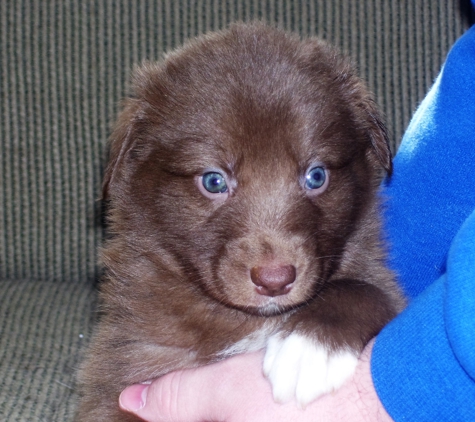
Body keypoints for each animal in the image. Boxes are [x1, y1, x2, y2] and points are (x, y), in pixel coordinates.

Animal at [77, 23, 406, 422]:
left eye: (316, 176)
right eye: (213, 180)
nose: (274, 280)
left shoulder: (382, 281)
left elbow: (368, 289)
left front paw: (310, 348)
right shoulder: (124, 372)